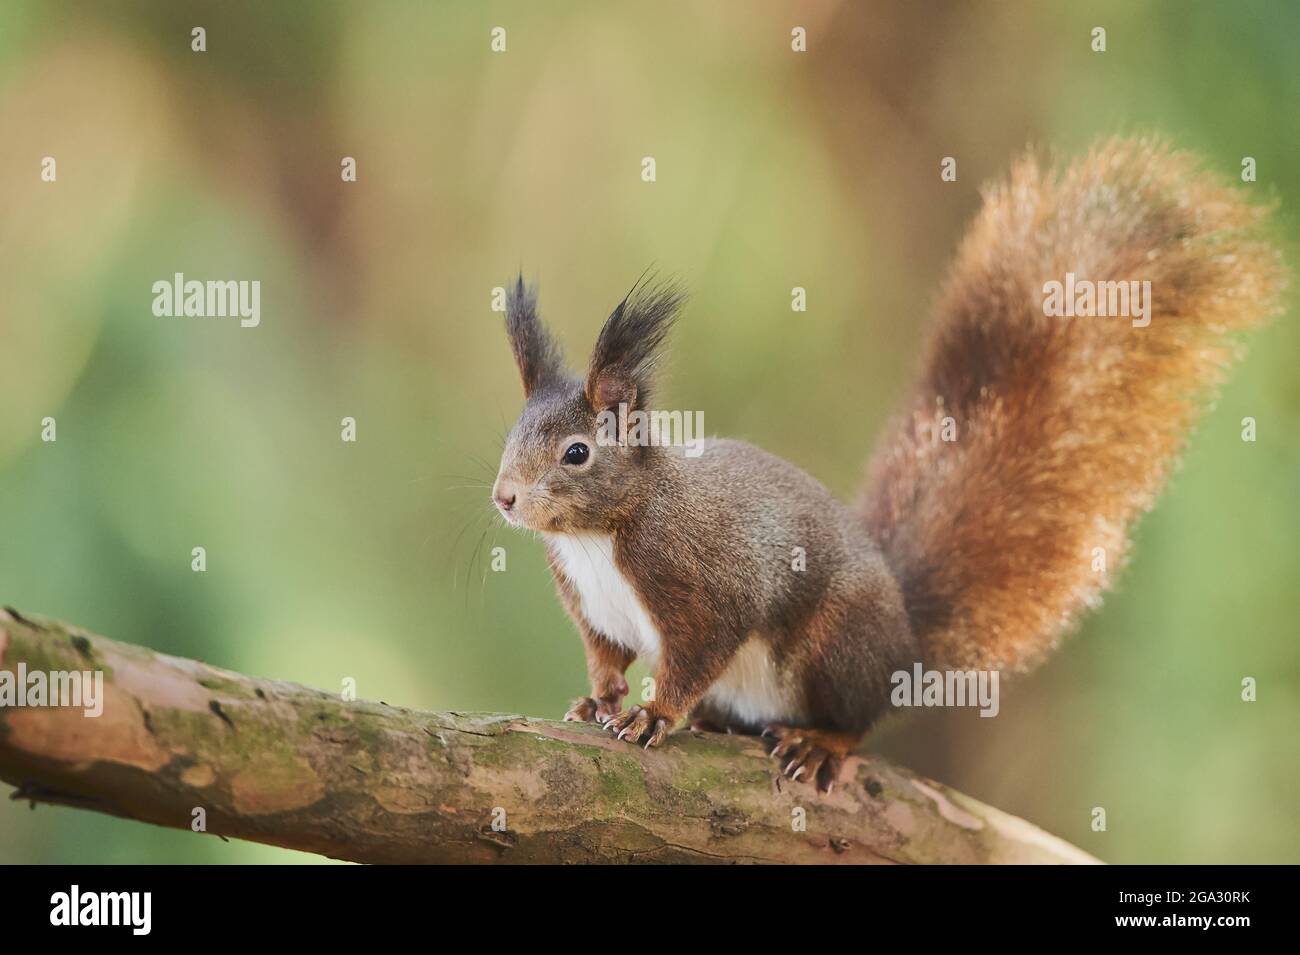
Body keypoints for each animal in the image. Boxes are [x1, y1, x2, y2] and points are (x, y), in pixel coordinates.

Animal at [488, 136, 1289, 789]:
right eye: (510, 436)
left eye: (576, 453)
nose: (503, 498)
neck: (598, 538)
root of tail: (905, 639)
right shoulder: (592, 608)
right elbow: (605, 655)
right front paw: (598, 699)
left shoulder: (701, 583)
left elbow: (696, 652)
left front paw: (654, 715)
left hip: (836, 643)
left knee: (858, 718)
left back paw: (819, 741)